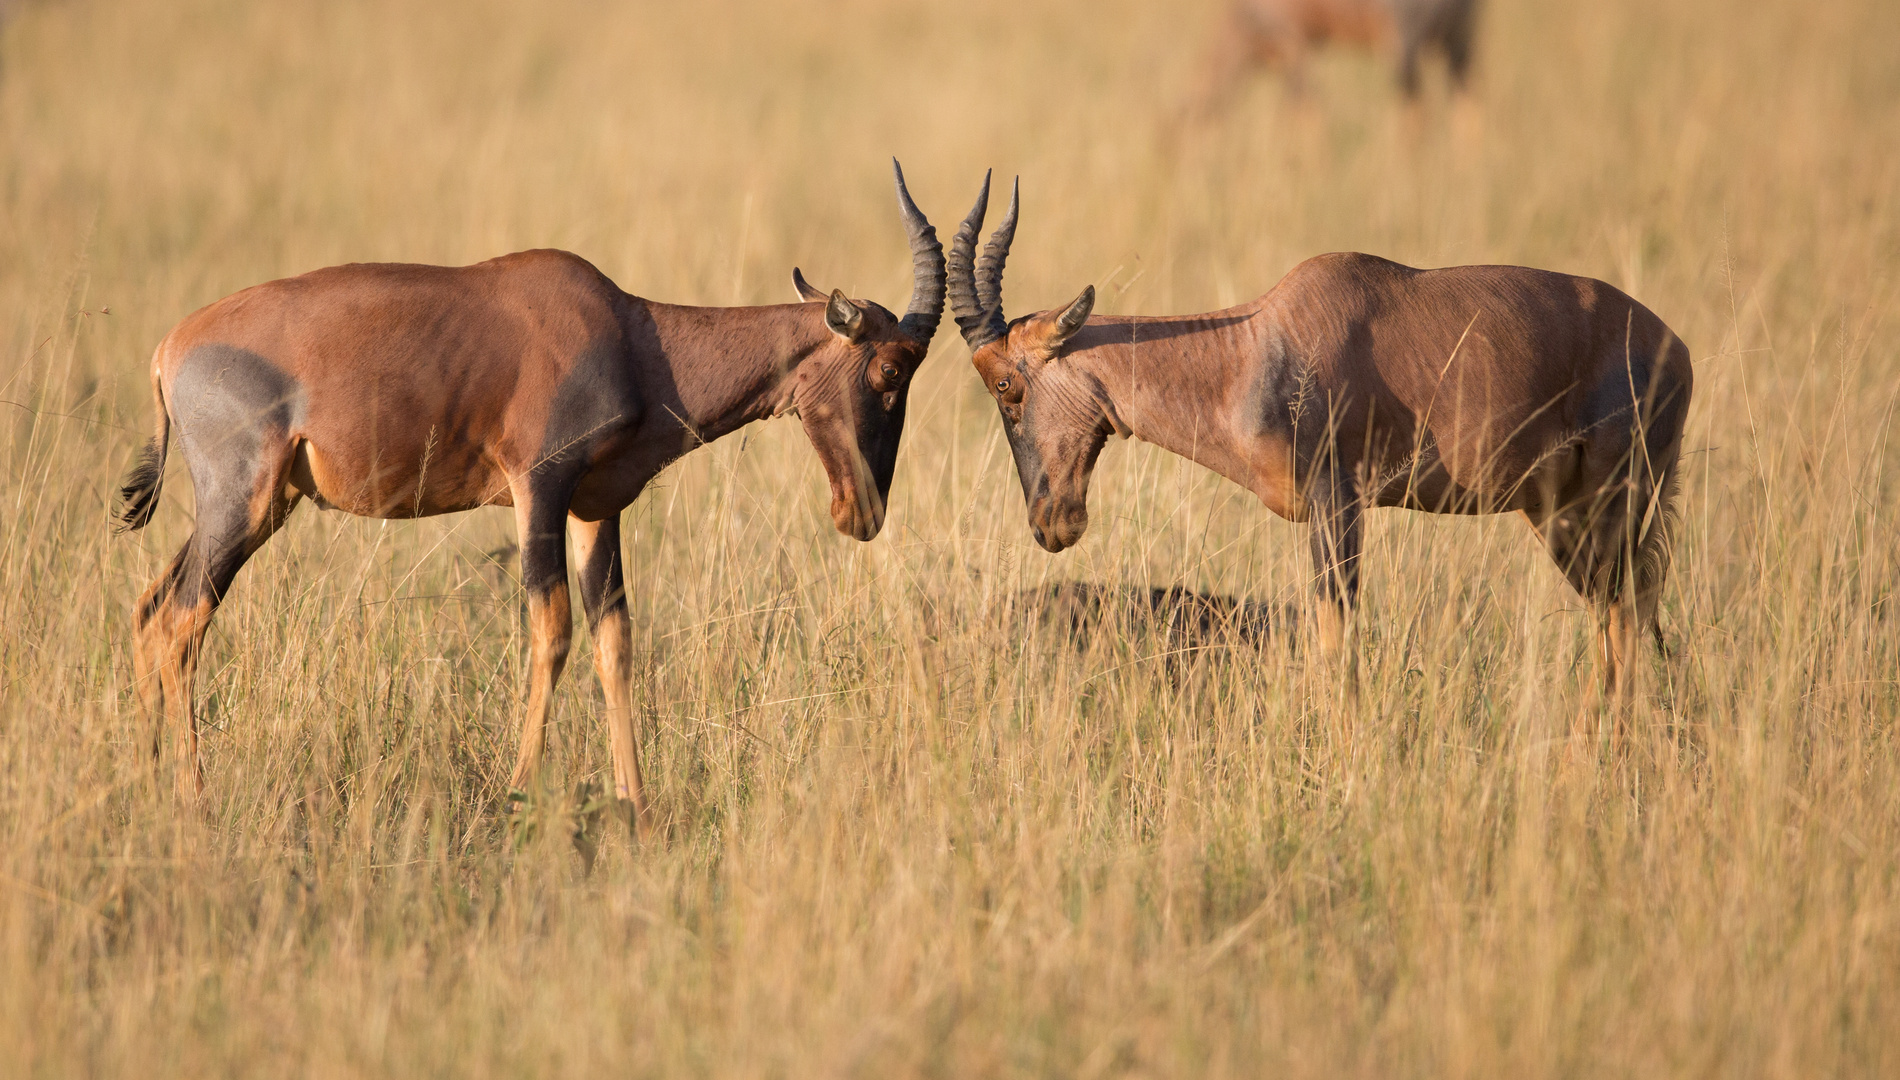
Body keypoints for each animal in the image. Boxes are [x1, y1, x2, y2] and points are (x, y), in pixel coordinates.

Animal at [118, 157, 950, 817]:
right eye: (888, 368)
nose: (862, 513)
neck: (631, 331)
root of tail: (168, 348)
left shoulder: (595, 507)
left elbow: (615, 638)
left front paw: (635, 803)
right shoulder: (539, 486)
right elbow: (551, 629)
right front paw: (519, 792)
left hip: (258, 506)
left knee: (151, 607)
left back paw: (146, 778)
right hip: (243, 500)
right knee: (184, 620)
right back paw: (191, 794)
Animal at [946, 173, 1694, 722]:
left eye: (1008, 385)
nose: (1051, 523)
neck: (1254, 346)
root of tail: (1675, 349)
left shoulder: (1340, 503)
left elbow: (1336, 636)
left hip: (1613, 496)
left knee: (1627, 607)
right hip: (1559, 513)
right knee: (1619, 608)